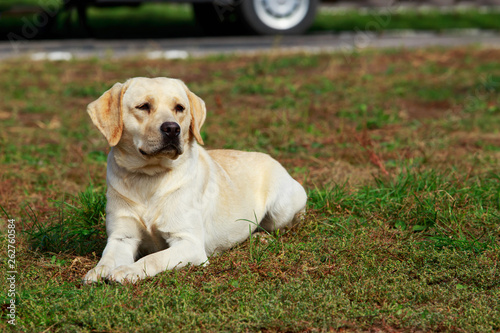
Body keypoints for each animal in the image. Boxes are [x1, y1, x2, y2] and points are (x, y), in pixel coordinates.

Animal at [83, 78, 304, 282]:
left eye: (179, 108)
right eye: (143, 106)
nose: (172, 129)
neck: (150, 176)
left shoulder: (190, 243)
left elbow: (153, 258)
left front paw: (129, 270)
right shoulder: (121, 237)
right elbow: (108, 257)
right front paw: (98, 271)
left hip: (281, 209)